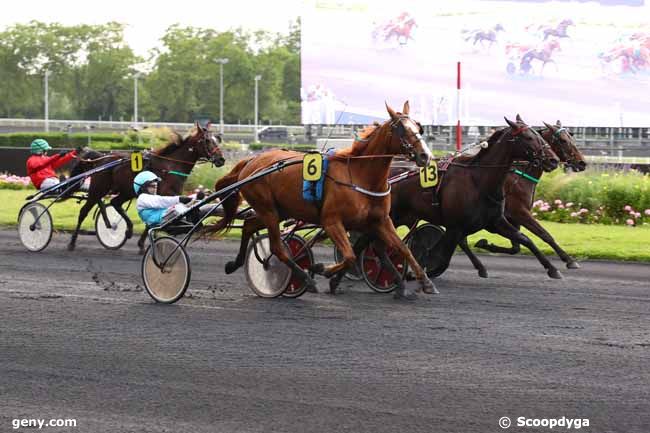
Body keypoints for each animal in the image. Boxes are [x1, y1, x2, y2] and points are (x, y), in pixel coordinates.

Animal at [66, 123, 223, 251]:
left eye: (217, 139)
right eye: (207, 140)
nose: (221, 159)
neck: (170, 166)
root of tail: (100, 159)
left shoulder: (171, 193)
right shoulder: (163, 193)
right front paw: (144, 242)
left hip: (126, 191)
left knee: (115, 202)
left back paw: (128, 229)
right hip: (98, 189)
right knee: (84, 211)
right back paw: (72, 243)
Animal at [210, 101, 432, 298]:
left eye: (418, 126)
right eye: (402, 129)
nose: (425, 155)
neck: (359, 175)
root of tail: (252, 160)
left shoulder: (381, 221)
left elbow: (403, 248)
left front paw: (425, 281)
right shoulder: (331, 221)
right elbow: (350, 256)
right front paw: (320, 268)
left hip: (277, 210)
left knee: (248, 225)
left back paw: (234, 264)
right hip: (268, 209)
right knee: (276, 247)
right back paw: (305, 278)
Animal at [470, 120, 588, 270]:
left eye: (571, 138)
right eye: (563, 140)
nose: (582, 162)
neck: (518, 176)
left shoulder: (511, 218)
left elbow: (515, 247)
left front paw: (485, 244)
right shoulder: (519, 212)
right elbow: (544, 234)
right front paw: (569, 259)